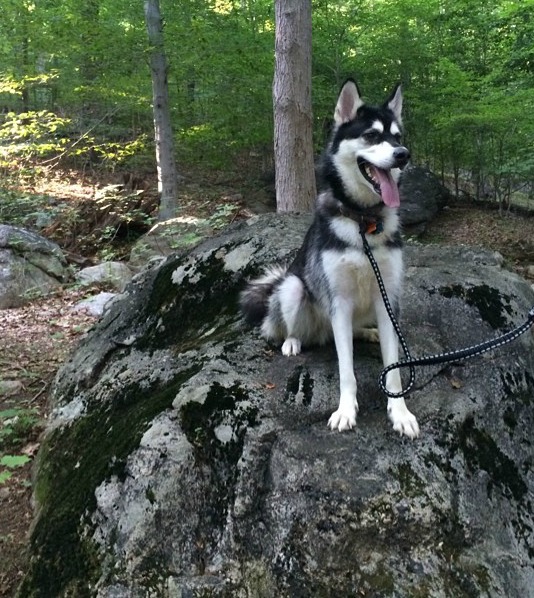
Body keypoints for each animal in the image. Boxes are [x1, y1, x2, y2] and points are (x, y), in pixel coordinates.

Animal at [241, 79, 420, 438]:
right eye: (371, 135)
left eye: (398, 137)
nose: (403, 155)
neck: (364, 221)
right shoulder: (339, 301)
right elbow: (346, 370)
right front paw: (346, 411)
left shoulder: (387, 298)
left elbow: (393, 369)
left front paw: (400, 413)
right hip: (293, 288)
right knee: (289, 325)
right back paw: (292, 342)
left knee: (353, 332)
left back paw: (367, 332)